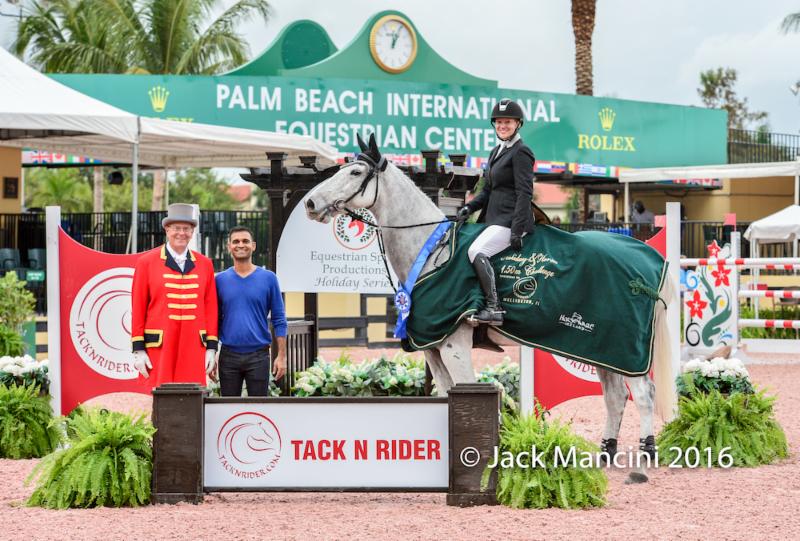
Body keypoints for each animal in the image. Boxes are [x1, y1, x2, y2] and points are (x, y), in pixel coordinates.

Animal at [304, 135, 676, 480]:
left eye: (355, 172)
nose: (310, 202)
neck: (432, 253)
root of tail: (648, 257)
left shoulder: (455, 345)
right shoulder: (434, 350)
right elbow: (446, 398)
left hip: (625, 349)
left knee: (644, 395)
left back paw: (644, 460)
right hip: (601, 347)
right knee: (615, 397)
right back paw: (604, 455)